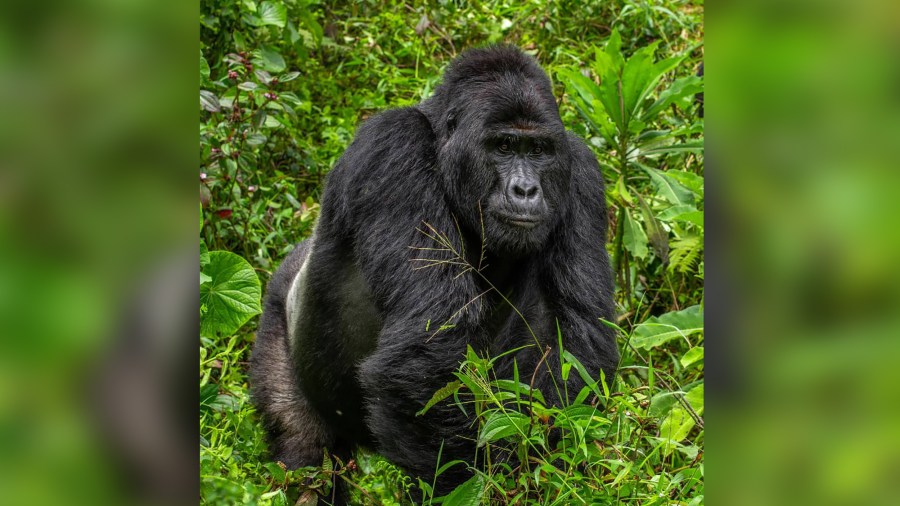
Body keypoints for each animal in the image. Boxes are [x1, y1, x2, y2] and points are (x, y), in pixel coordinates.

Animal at [251, 45, 620, 500]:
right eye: (503, 146)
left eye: (538, 150)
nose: (526, 190)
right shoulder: (393, 147)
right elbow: (427, 352)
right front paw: (472, 485)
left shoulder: (581, 171)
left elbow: (577, 346)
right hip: (275, 317)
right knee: (303, 449)